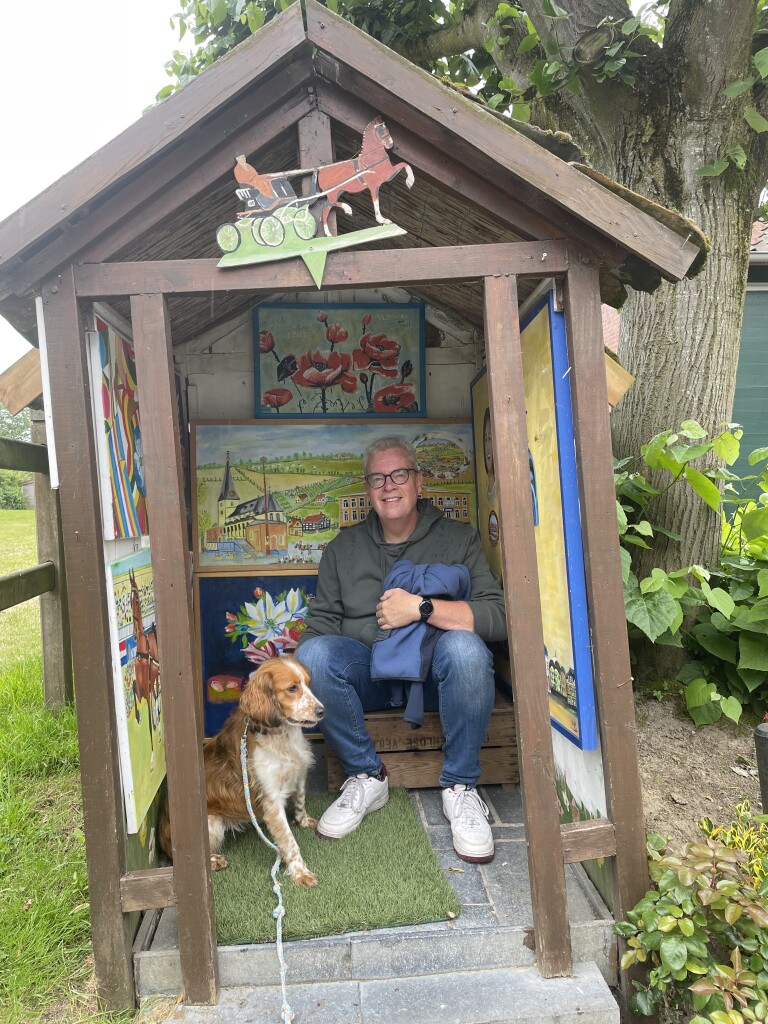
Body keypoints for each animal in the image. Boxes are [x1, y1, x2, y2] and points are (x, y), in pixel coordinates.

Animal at [158, 656, 324, 886]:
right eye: (292, 688)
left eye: (308, 684)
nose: (322, 711)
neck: (282, 736)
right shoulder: (272, 800)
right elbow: (289, 841)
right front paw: (300, 872)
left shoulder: (299, 771)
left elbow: (300, 800)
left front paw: (304, 821)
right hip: (212, 822)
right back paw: (214, 861)